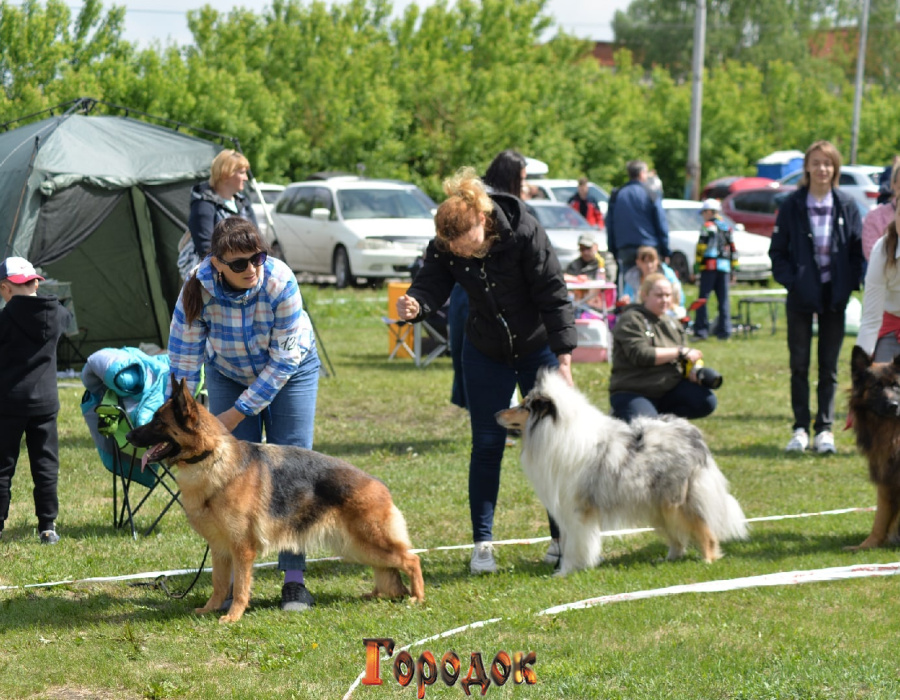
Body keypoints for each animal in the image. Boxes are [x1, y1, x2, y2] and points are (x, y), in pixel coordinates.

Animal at [126, 378, 426, 624]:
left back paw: (417, 597)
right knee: (389, 567)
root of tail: (380, 486)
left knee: (411, 559)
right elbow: (219, 584)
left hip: (368, 541)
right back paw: (378, 594)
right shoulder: (220, 549)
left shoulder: (242, 549)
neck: (210, 457)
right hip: (356, 546)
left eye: (158, 422)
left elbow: (241, 587)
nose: (128, 436)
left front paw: (233, 616)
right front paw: (210, 609)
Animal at [496, 372, 748, 576]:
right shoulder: (566, 510)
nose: (496, 413)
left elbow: (575, 543)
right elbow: (568, 541)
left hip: (676, 502)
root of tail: (693, 434)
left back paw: (708, 560)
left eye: (524, 406)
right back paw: (668, 559)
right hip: (657, 505)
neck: (554, 434)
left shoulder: (577, 510)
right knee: (677, 537)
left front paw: (567, 571)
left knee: (704, 529)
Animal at [848, 348, 900, 548]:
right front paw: (868, 545)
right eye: (876, 387)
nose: (893, 406)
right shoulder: (885, 477)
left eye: (897, 386)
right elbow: (880, 518)